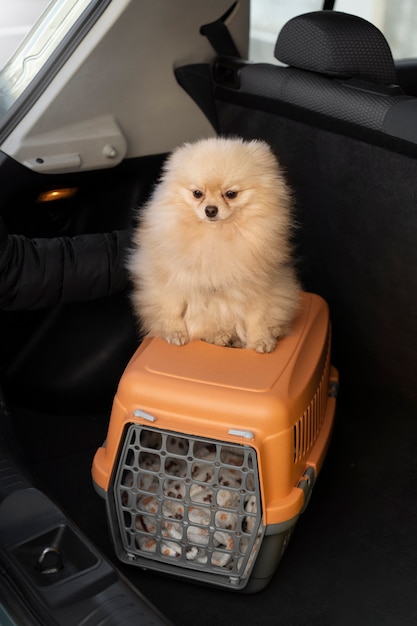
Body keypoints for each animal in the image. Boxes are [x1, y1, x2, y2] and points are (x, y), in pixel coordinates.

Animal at [128, 136, 300, 352]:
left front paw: (261, 340)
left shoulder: (257, 284)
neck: (216, 235)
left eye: (231, 194)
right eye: (197, 193)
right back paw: (218, 336)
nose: (210, 210)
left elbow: (257, 316)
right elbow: (171, 308)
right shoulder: (170, 278)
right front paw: (175, 333)